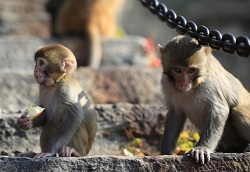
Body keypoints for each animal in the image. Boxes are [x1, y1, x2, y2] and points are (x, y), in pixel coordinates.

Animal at [159, 35, 250, 164]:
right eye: (177, 70)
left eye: (191, 71)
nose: (183, 83)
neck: (194, 86)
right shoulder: (168, 85)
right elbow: (175, 114)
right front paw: (165, 152)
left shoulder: (210, 84)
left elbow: (219, 110)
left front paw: (202, 148)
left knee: (237, 111)